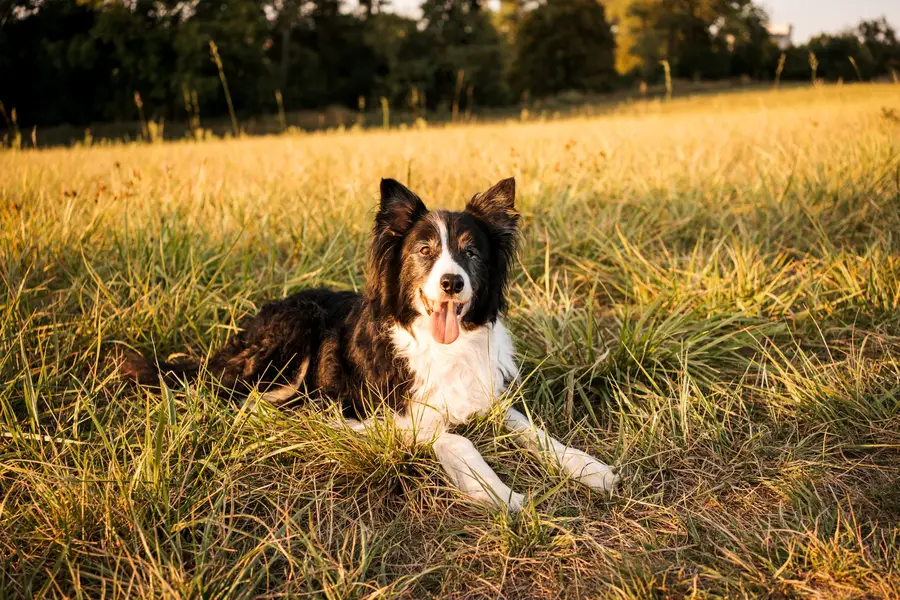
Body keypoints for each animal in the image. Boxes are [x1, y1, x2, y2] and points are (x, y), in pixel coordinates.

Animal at [123, 176, 620, 508]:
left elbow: (536, 431)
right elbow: (457, 441)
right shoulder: (381, 416)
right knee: (246, 401)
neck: (442, 346)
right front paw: (498, 491)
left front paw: (588, 467)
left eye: (471, 252)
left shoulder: (489, 398)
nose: (452, 283)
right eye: (424, 251)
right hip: (296, 329)